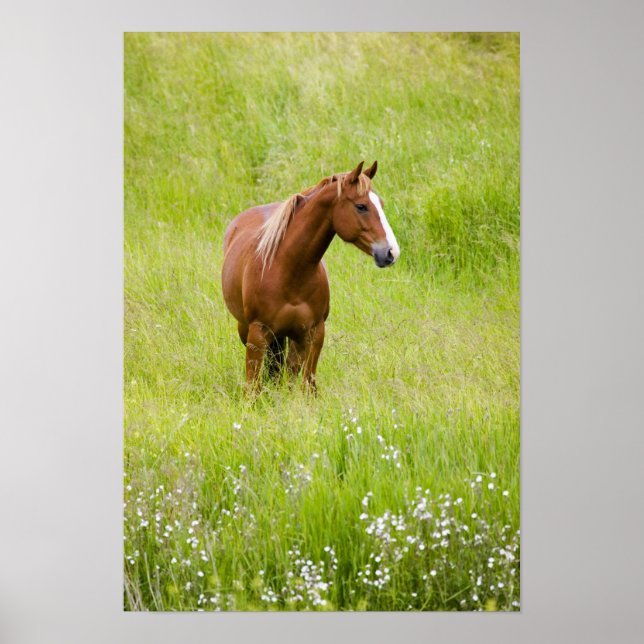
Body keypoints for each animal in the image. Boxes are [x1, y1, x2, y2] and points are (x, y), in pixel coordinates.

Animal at [221, 160, 400, 393]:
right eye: (361, 206)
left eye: (381, 204)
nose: (391, 252)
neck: (288, 270)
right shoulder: (257, 335)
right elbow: (253, 387)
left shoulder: (314, 334)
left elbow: (307, 385)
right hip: (247, 330)